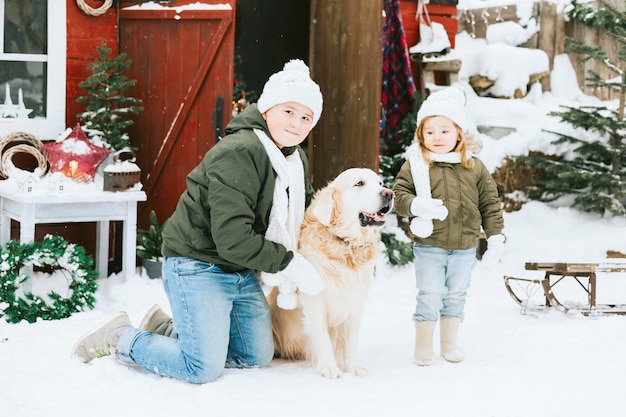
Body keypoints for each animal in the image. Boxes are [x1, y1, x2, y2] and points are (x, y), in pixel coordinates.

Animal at [266, 167, 392, 376]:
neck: (345, 244)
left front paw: (355, 366)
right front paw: (329, 368)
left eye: (380, 183)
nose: (389, 194)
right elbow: (323, 337)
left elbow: (351, 340)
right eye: (359, 183)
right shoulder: (315, 301)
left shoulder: (356, 299)